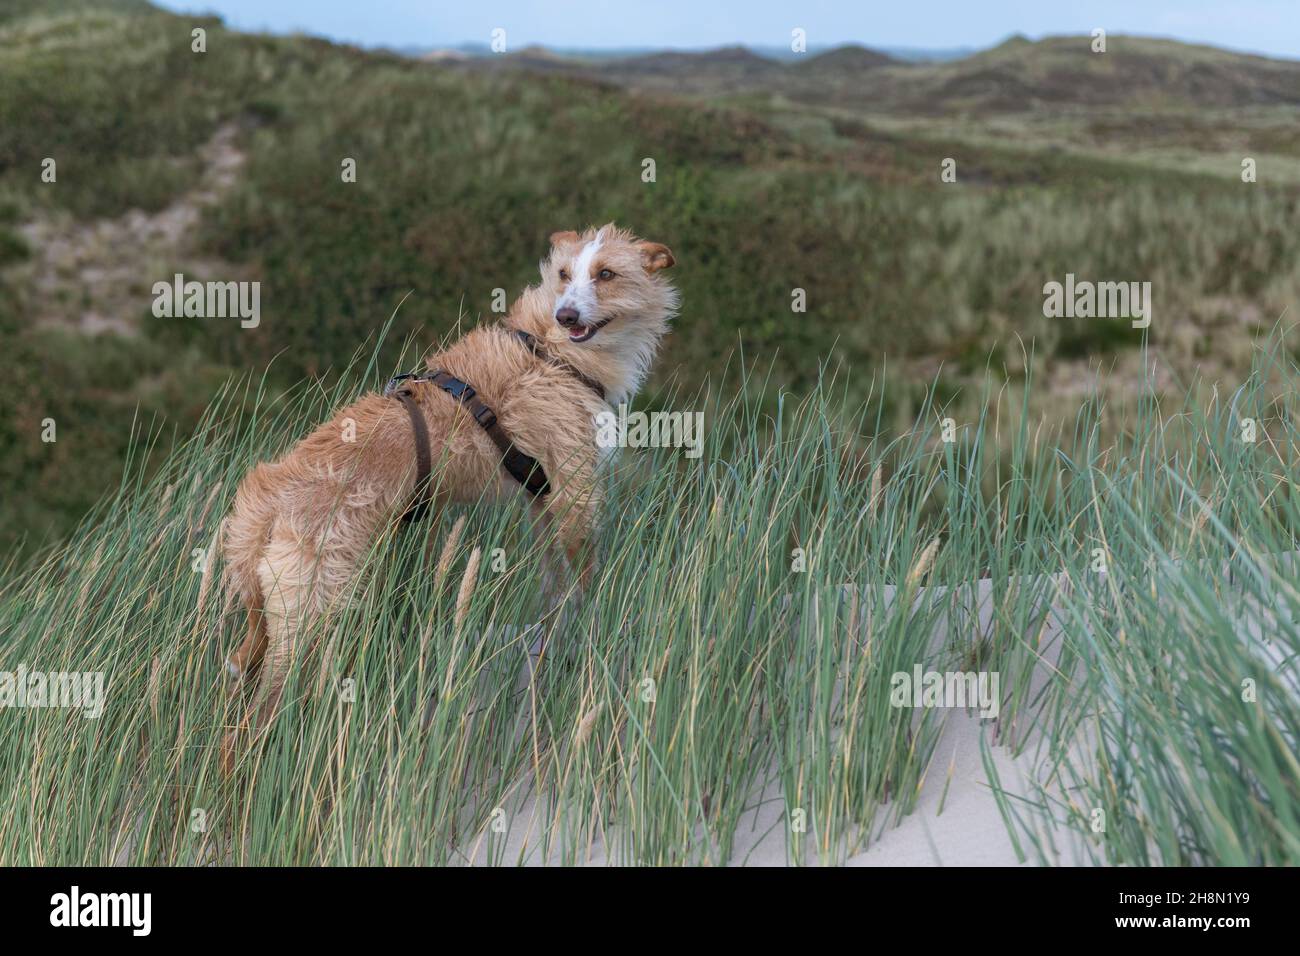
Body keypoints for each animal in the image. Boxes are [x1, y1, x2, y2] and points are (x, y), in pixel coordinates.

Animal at [210, 226, 681, 780]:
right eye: (567, 275)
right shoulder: (575, 492)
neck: (551, 350)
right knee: (251, 722)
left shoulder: (542, 501)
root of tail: (267, 496)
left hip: (268, 617)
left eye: (606, 274)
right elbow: (586, 577)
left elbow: (553, 585)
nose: (568, 314)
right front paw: (594, 622)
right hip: (313, 616)